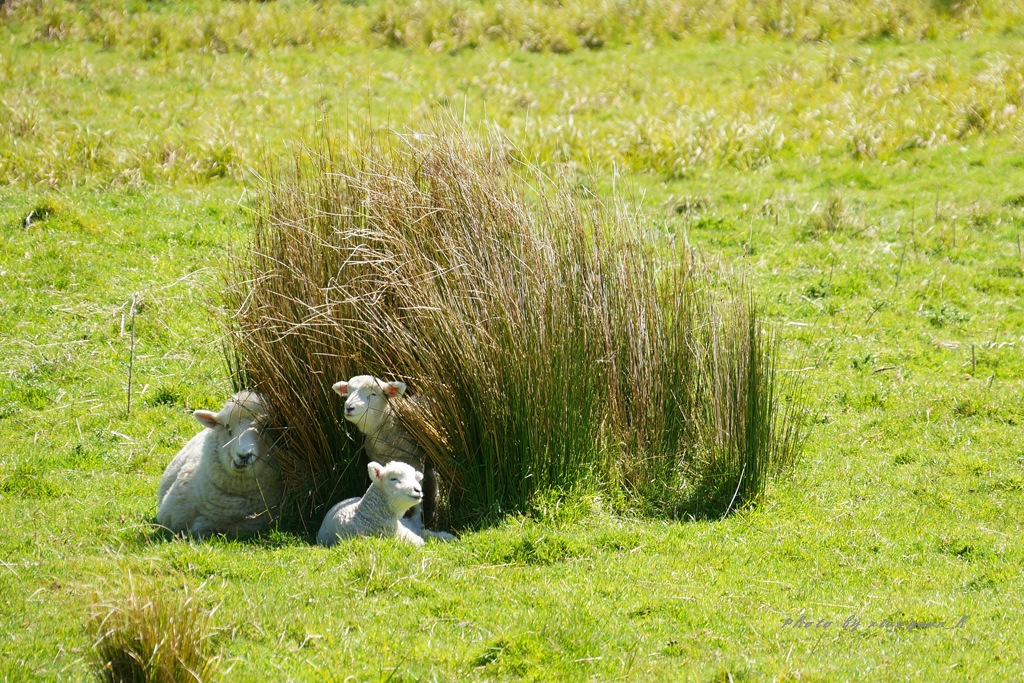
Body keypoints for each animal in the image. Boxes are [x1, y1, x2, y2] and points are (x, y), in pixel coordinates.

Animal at [152, 389, 280, 540]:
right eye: (227, 427)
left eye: (267, 427)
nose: (243, 455)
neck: (229, 502)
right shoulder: (169, 518)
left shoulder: (253, 523)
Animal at [329, 374, 438, 528]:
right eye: (348, 392)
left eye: (373, 394)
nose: (349, 408)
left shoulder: (415, 462)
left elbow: (416, 499)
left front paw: (416, 523)